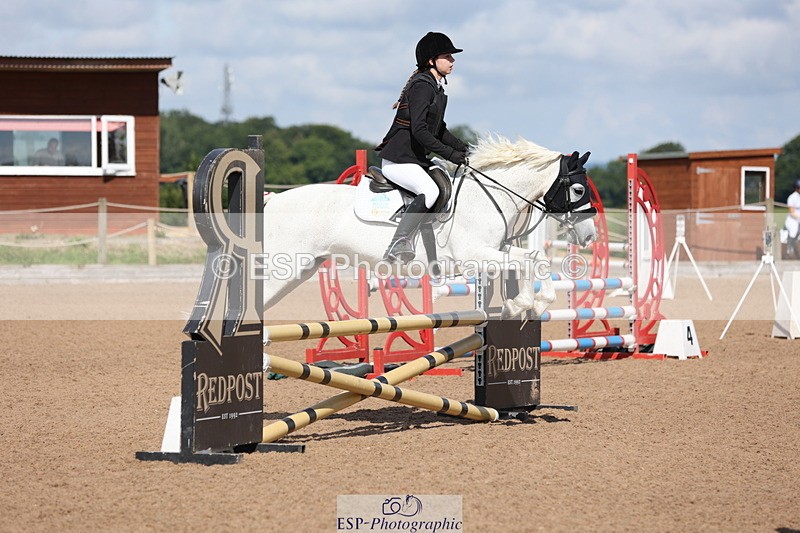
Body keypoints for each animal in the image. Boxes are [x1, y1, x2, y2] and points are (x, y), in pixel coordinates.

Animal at [263, 135, 596, 319]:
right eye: (578, 190)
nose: (590, 235)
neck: (487, 197)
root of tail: (273, 200)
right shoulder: (474, 256)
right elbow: (528, 261)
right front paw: (529, 304)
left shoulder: (494, 252)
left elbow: (533, 259)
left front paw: (526, 306)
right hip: (286, 267)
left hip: (304, 268)